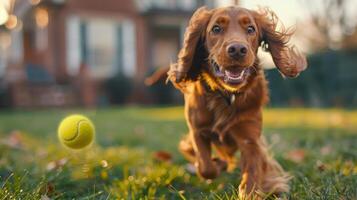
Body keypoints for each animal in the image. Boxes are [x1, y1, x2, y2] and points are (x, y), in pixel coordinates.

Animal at [164, 5, 306, 197]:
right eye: (216, 29)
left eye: (251, 29)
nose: (237, 49)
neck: (226, 96)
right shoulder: (197, 131)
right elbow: (205, 167)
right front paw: (218, 164)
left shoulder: (250, 138)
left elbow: (253, 170)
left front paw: (251, 192)